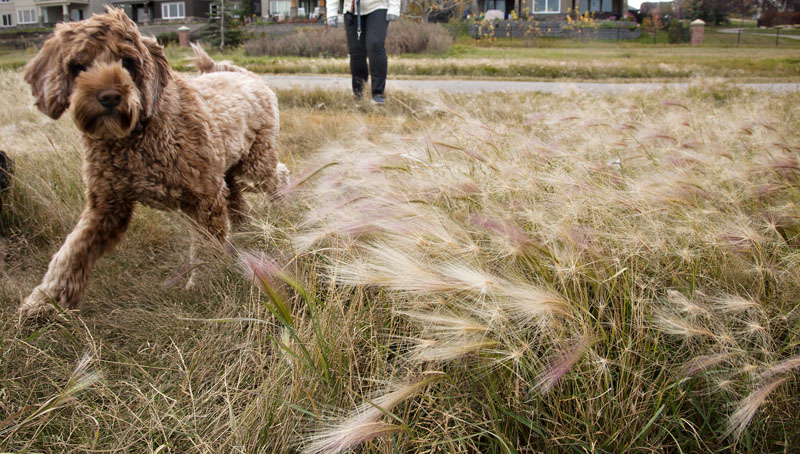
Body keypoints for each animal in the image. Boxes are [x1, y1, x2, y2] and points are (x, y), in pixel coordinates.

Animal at [18, 7, 290, 320]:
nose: (109, 97)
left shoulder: (204, 199)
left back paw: (282, 208)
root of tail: (244, 75)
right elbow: (72, 253)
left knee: (278, 175)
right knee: (236, 197)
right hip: (228, 169)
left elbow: (206, 246)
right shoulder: (107, 206)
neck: (136, 134)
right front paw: (44, 302)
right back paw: (245, 226)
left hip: (254, 162)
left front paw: (205, 282)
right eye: (78, 66)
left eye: (128, 62)